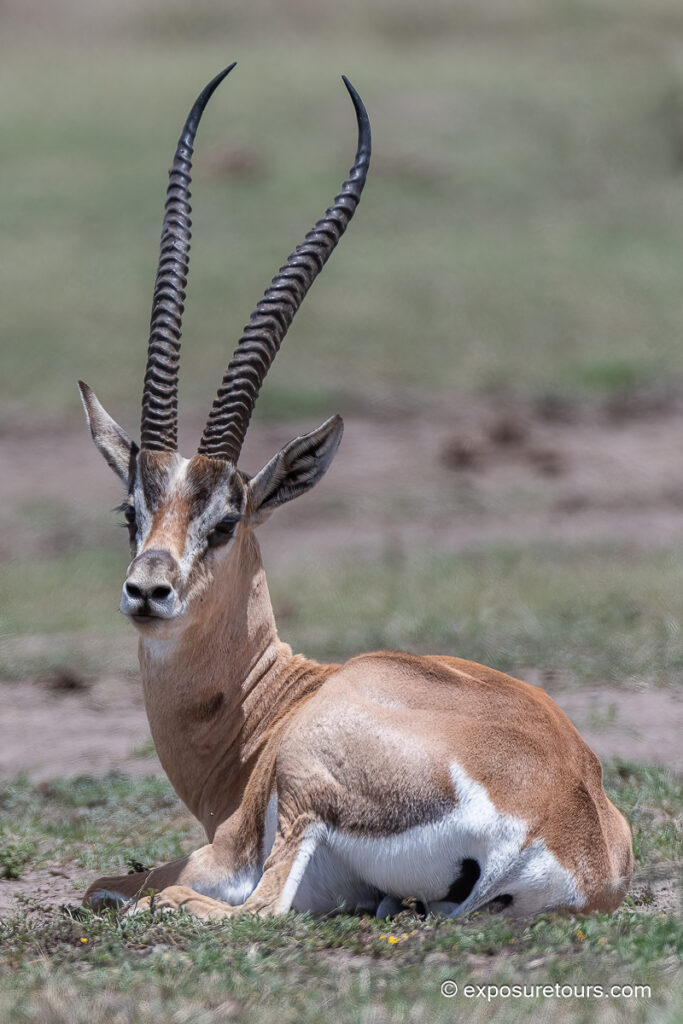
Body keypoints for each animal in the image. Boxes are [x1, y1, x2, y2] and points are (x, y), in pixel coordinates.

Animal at [79, 64, 633, 921]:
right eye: (131, 510)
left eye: (226, 520)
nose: (147, 591)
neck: (271, 704)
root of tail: (550, 819)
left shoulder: (225, 848)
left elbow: (111, 884)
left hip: (298, 809)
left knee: (245, 910)